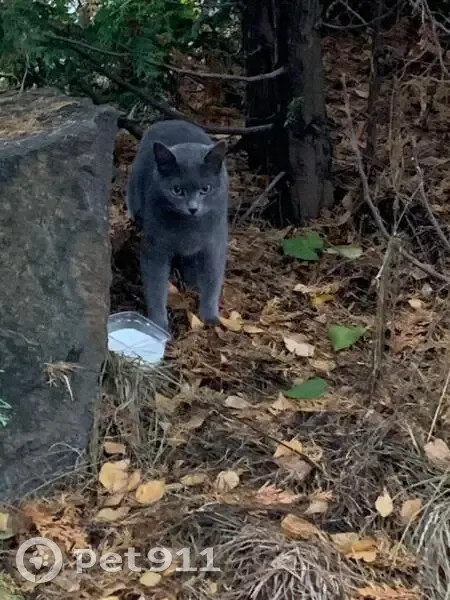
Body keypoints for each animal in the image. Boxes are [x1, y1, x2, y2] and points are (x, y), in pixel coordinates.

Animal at [126, 119, 229, 333]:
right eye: (177, 190)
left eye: (205, 189)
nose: (193, 208)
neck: (189, 227)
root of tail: (171, 120)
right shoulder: (155, 245)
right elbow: (155, 283)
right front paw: (158, 323)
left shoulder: (214, 243)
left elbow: (213, 278)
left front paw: (210, 317)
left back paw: (191, 283)